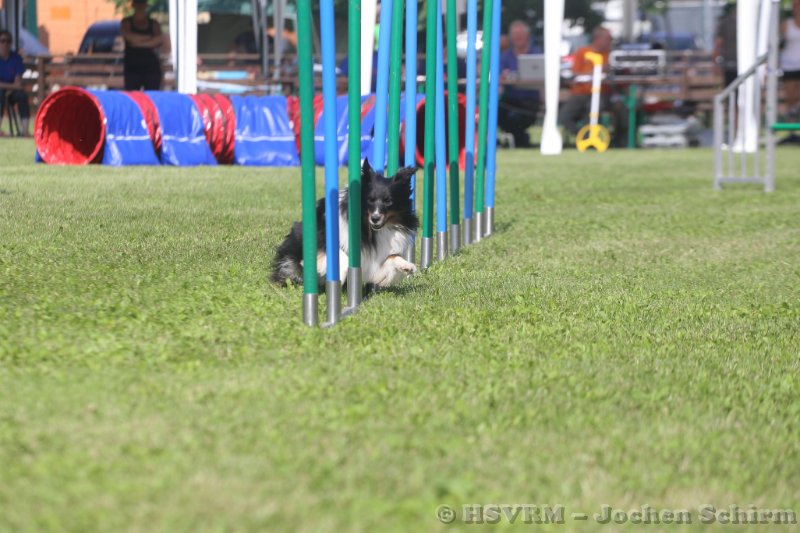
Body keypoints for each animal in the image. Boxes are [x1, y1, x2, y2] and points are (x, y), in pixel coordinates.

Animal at [272, 159, 419, 289]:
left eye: (388, 201)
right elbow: (340, 254)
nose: (375, 218)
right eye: (370, 200)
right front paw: (339, 275)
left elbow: (393, 257)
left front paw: (407, 266)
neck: (369, 230)